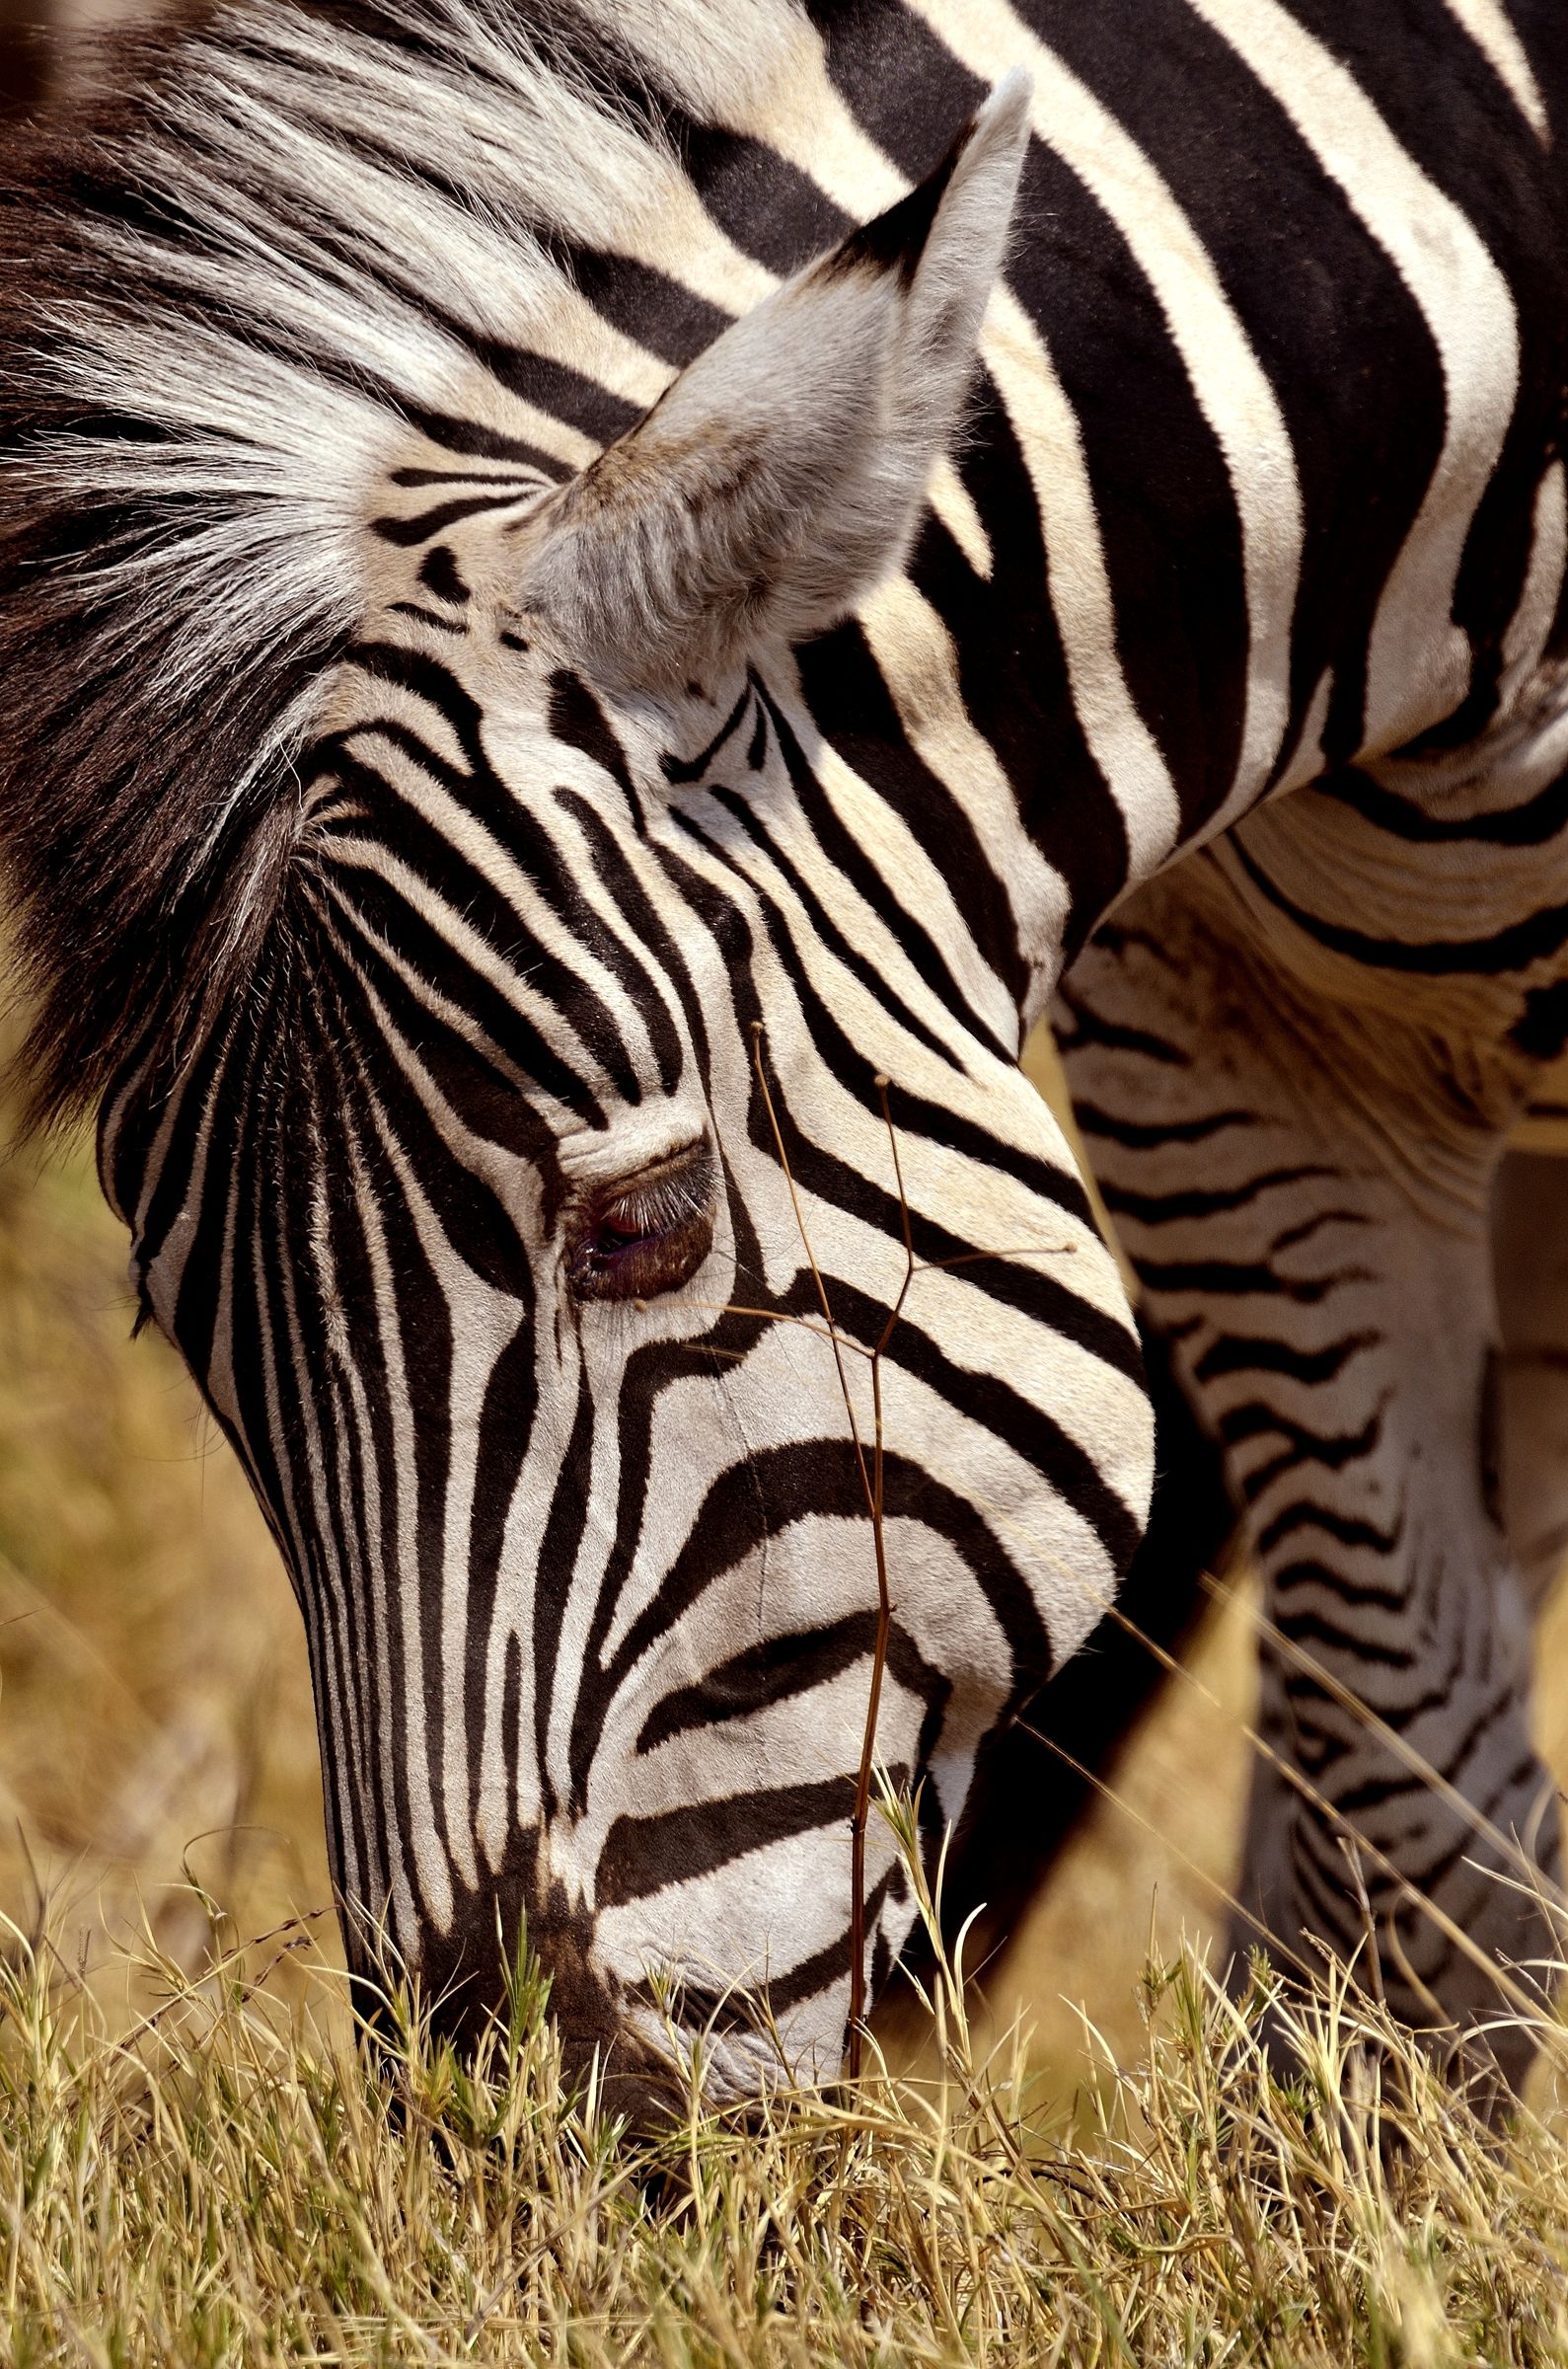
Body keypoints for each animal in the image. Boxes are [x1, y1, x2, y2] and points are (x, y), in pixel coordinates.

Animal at [2, 0, 1566, 2115]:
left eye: (646, 1227)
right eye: (185, 1326)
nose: (523, 2133)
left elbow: (1418, 1860)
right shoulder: (1227, 1059)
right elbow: (1415, 1831)